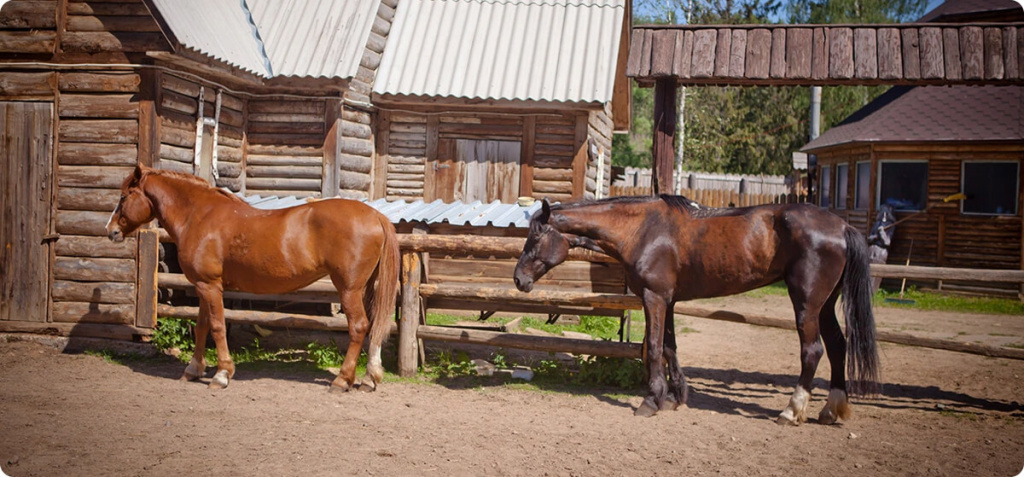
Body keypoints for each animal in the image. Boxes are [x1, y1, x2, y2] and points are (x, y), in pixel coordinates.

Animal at [106, 164, 399, 392]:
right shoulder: (204, 286)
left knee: (359, 326)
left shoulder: (209, 286)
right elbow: (202, 326)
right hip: (367, 287)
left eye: (124, 196)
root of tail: (376, 216)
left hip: (349, 289)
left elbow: (217, 326)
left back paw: (342, 380)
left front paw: (222, 374)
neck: (198, 216)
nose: (110, 231)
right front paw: (193, 369)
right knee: (375, 325)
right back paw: (369, 378)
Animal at [513, 195, 879, 424]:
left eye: (535, 238)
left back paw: (791, 411)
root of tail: (842, 227)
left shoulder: (654, 297)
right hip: (826, 304)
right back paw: (831, 410)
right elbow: (671, 347)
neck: (642, 230)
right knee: (838, 346)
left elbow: (654, 347)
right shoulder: (669, 300)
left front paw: (651, 401)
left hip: (806, 302)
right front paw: (676, 396)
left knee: (812, 350)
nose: (519, 279)